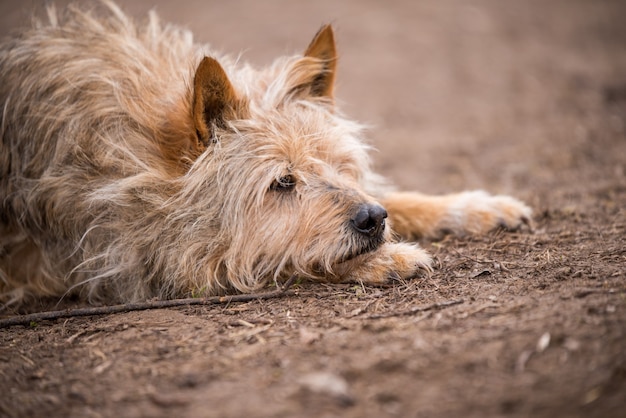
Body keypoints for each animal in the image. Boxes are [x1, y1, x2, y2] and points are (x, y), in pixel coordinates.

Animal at [0, 0, 528, 306]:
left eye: (340, 166)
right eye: (282, 183)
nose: (371, 220)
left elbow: (397, 197)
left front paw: (474, 206)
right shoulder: (132, 259)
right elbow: (268, 259)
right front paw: (384, 260)